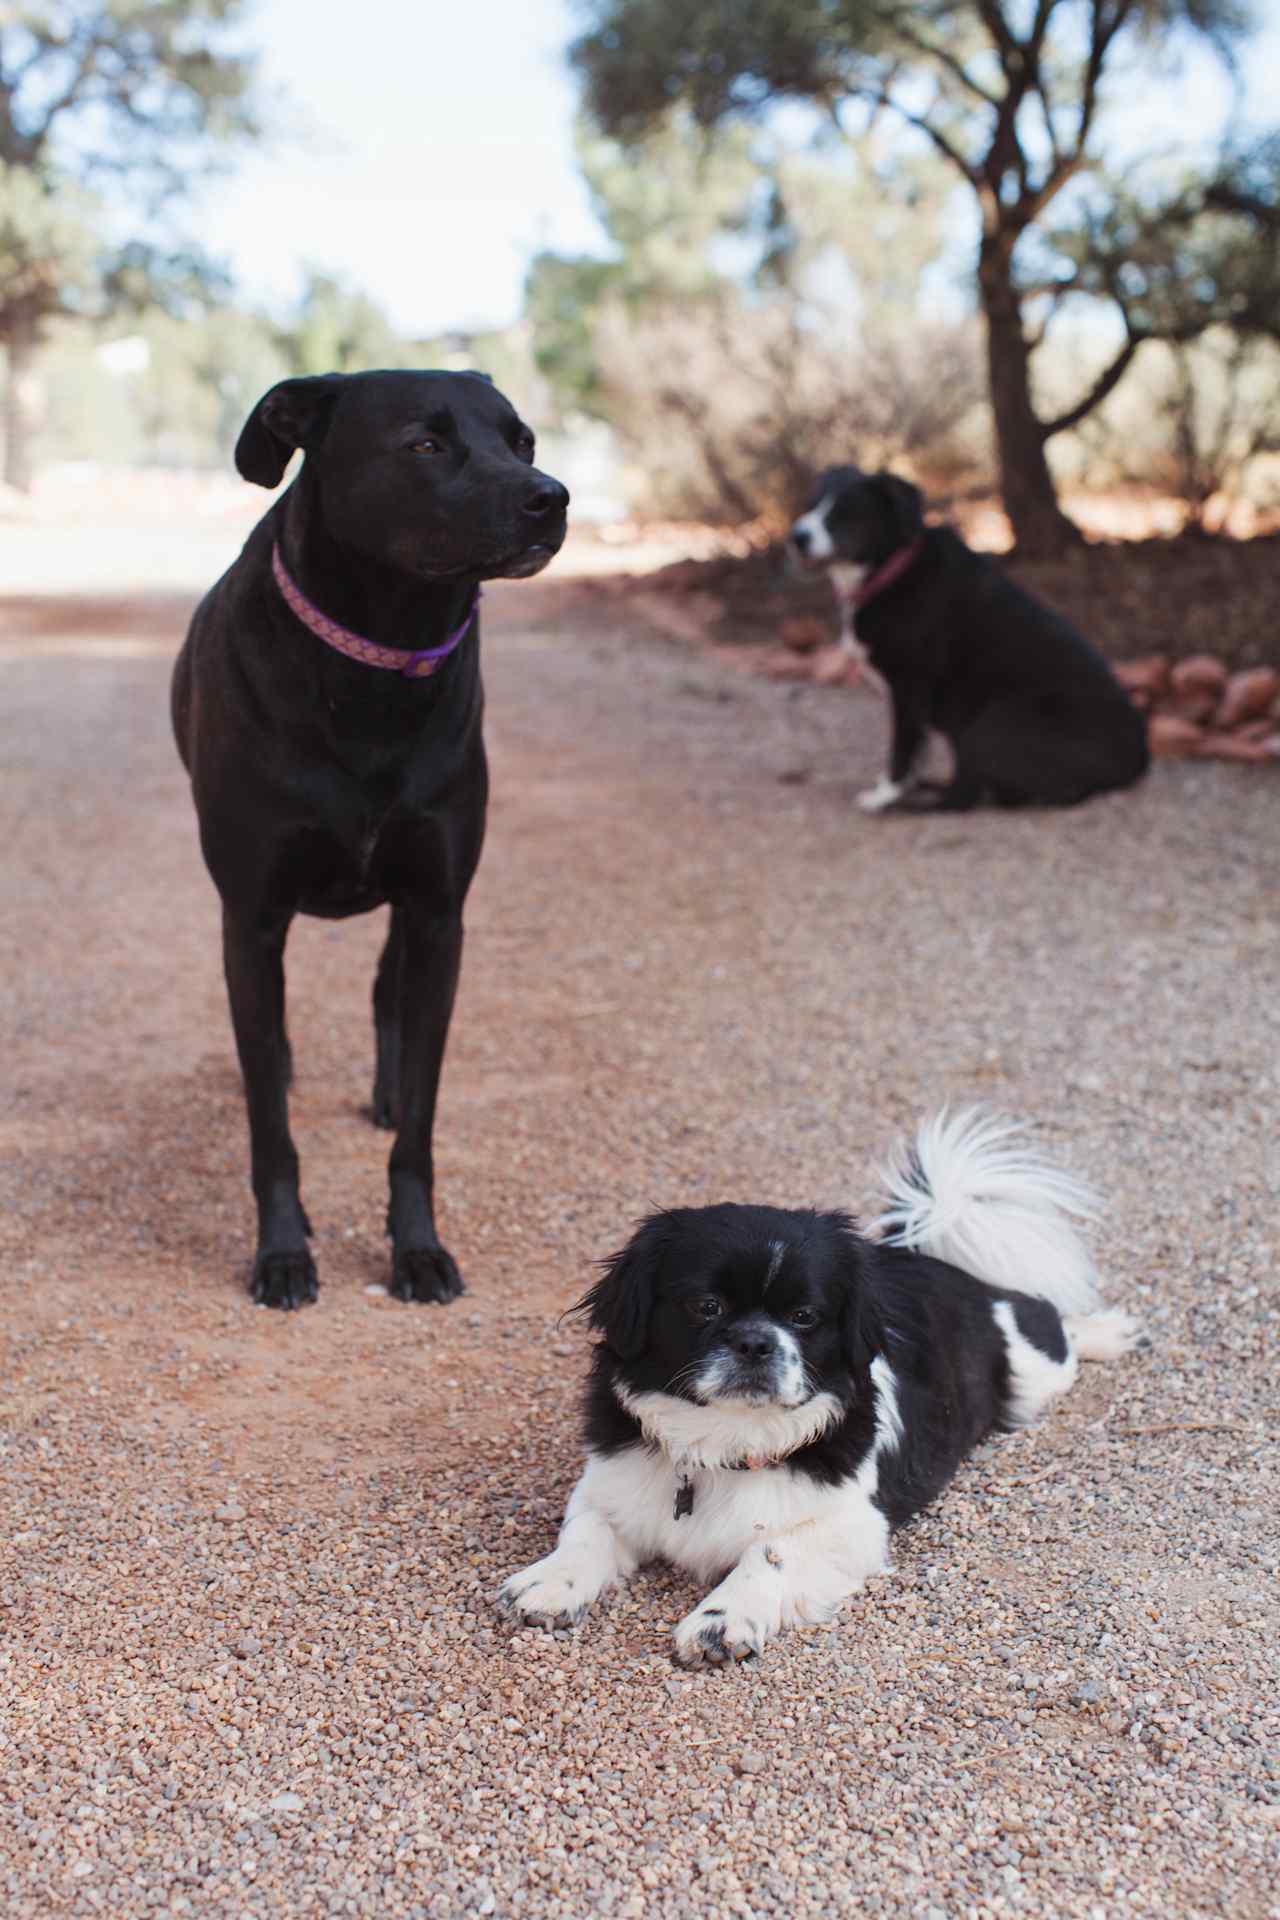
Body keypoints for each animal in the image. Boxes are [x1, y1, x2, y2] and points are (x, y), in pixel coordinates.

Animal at [171, 368, 571, 1313]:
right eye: (425, 443)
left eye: (523, 441)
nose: (552, 496)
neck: (378, 661)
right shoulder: (251, 917)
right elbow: (270, 1131)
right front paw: (283, 1251)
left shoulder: (438, 908)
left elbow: (421, 1119)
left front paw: (417, 1247)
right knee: (271, 1039)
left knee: (389, 991)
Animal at [498, 1113, 1143, 1666]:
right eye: (706, 1306)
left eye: (805, 1317)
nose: (756, 1341)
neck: (722, 1443)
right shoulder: (608, 1486)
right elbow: (586, 1533)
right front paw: (549, 1582)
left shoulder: (853, 1523)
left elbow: (770, 1552)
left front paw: (720, 1622)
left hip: (1033, 1371)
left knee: (1052, 1323)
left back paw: (1110, 1332)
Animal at [790, 474, 1151, 817]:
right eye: (810, 504)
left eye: (845, 510)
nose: (797, 535)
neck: (891, 569)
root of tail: (1136, 763)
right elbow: (917, 753)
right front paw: (903, 787)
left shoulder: (909, 689)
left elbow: (903, 750)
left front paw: (885, 795)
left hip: (991, 722)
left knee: (962, 799)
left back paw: (907, 806)